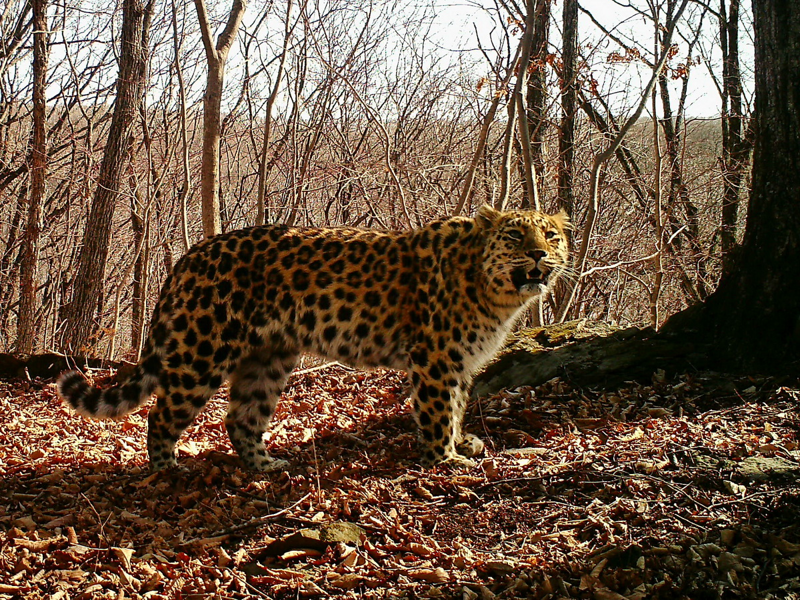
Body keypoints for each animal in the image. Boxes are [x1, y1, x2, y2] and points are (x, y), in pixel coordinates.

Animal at [57, 204, 568, 472]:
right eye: (515, 236)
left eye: (552, 235)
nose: (539, 255)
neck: (495, 292)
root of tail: (190, 254)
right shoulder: (437, 359)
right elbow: (440, 410)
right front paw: (447, 459)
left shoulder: (459, 362)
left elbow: (459, 405)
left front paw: (462, 444)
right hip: (201, 352)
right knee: (161, 414)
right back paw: (168, 469)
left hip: (267, 358)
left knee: (240, 418)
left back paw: (265, 467)